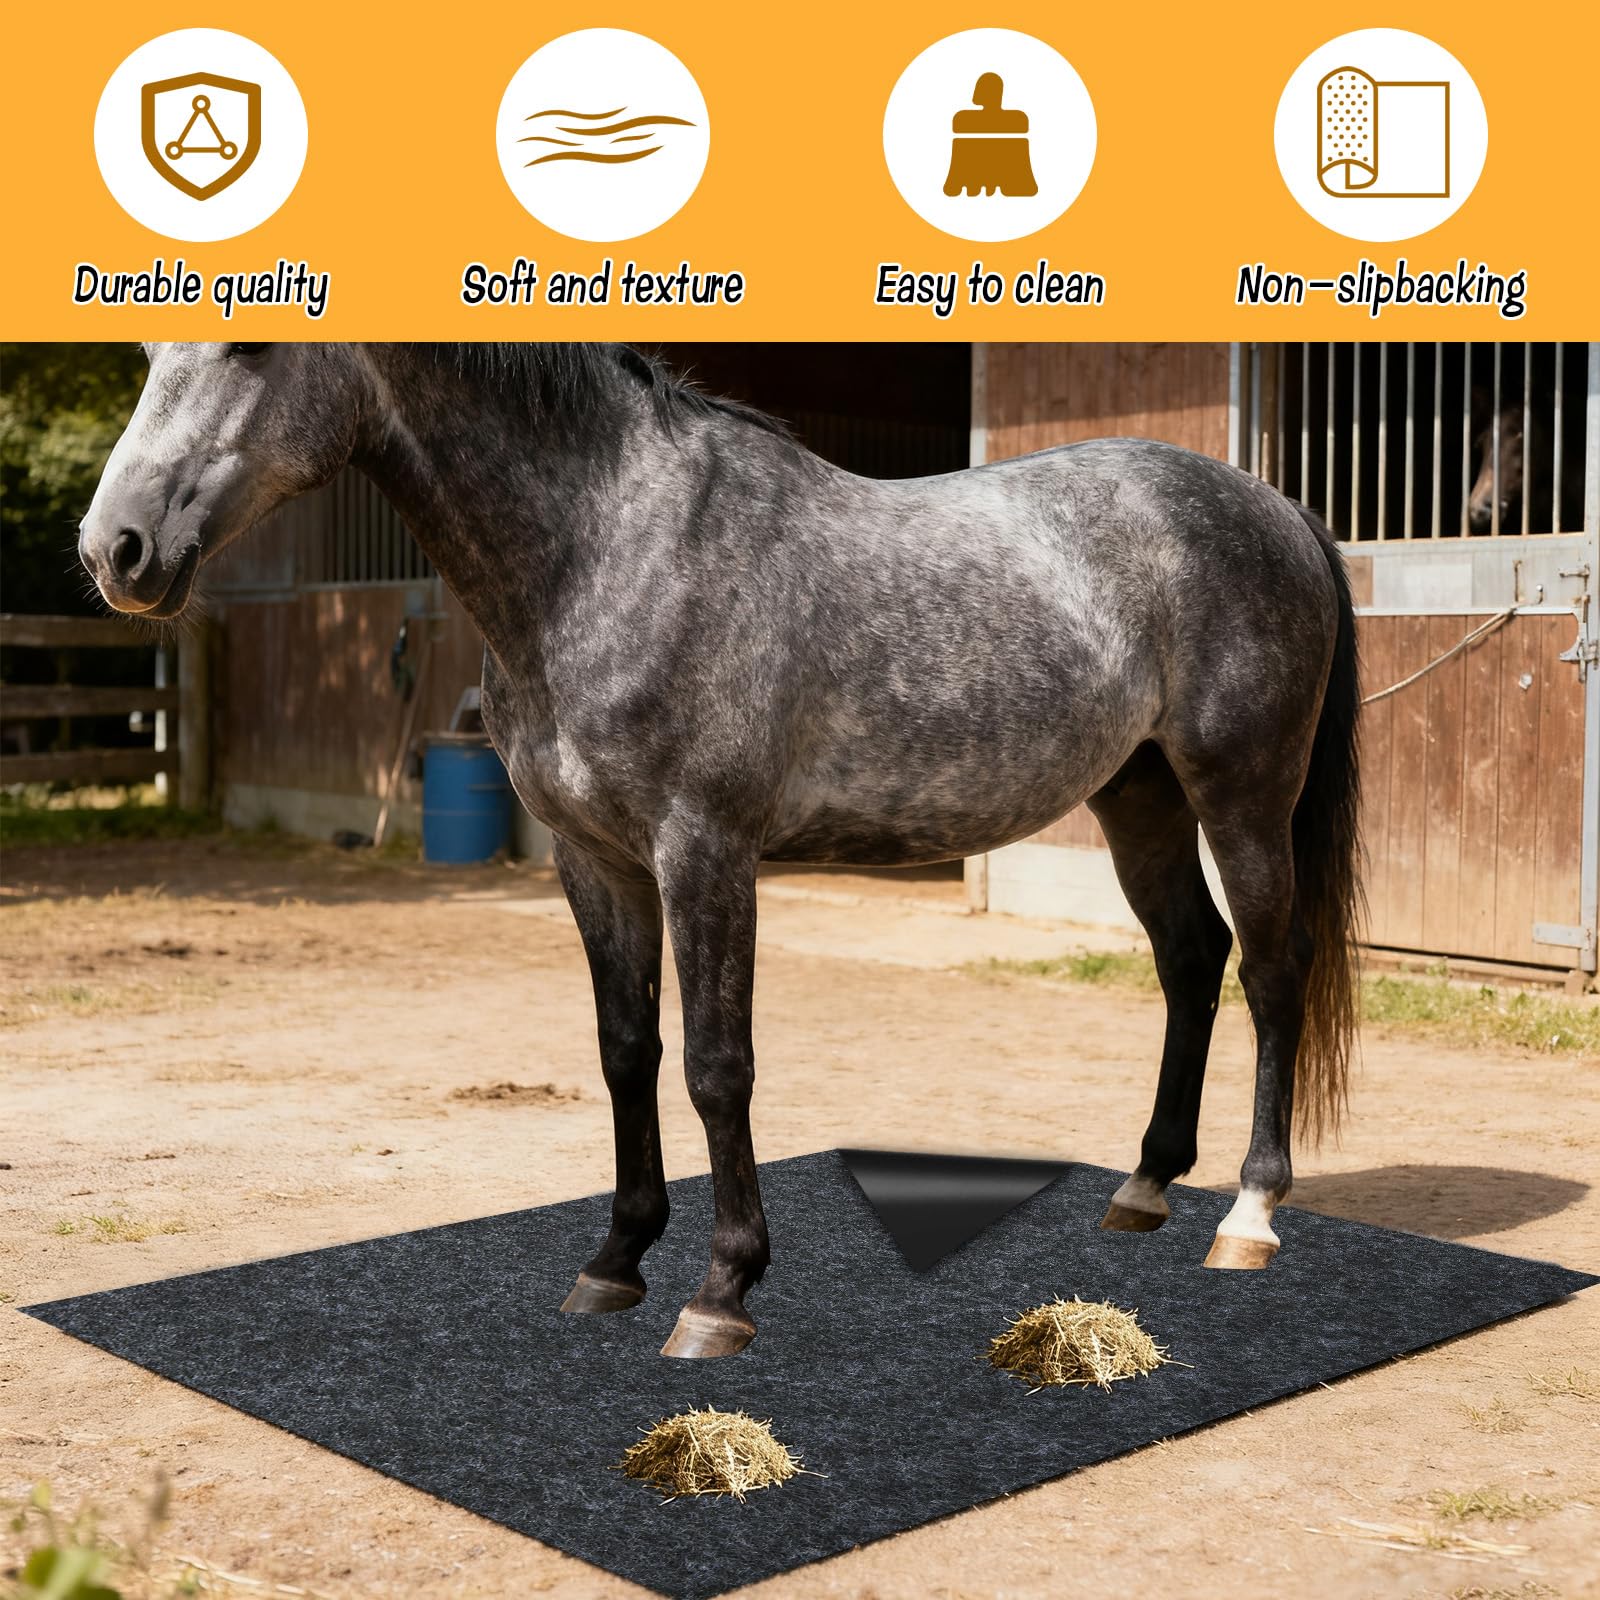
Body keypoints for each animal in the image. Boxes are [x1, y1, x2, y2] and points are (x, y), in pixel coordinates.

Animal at [78, 342, 1362, 1359]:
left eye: (251, 344)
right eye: (143, 349)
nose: (114, 550)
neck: (604, 546)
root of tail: (1277, 507)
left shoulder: (704, 849)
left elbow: (714, 1065)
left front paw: (720, 1290)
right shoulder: (592, 860)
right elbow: (625, 1052)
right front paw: (613, 1263)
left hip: (1240, 794)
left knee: (1268, 972)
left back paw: (1248, 1216)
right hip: (1137, 798)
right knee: (1189, 961)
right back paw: (1143, 1186)